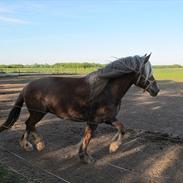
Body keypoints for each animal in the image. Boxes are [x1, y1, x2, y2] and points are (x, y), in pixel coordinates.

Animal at [0, 54, 159, 163]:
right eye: (147, 72)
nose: (156, 90)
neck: (106, 90)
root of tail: (26, 86)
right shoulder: (98, 120)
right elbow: (97, 135)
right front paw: (108, 149)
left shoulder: (103, 119)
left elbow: (113, 130)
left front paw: (87, 154)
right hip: (37, 113)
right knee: (29, 124)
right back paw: (33, 144)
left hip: (38, 113)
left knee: (30, 125)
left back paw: (32, 144)